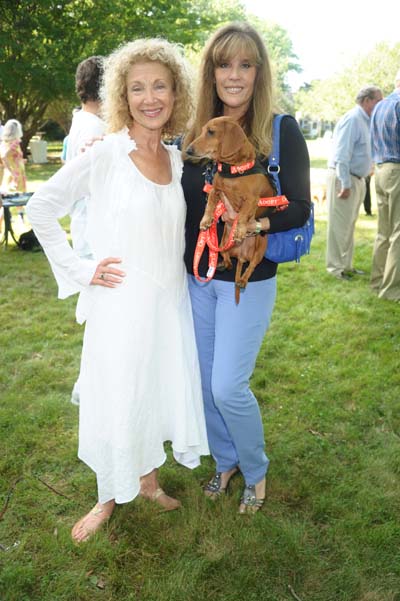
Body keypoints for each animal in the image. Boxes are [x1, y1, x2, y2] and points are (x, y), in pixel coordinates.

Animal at [188, 115, 278, 302]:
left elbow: (243, 214)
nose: (188, 150)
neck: (233, 170)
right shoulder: (215, 190)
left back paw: (242, 280)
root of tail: (242, 256)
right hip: (222, 242)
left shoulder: (251, 200)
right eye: (203, 130)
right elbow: (210, 205)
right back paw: (224, 265)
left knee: (251, 266)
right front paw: (206, 220)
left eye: (211, 132)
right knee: (227, 257)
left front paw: (240, 229)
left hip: (261, 247)